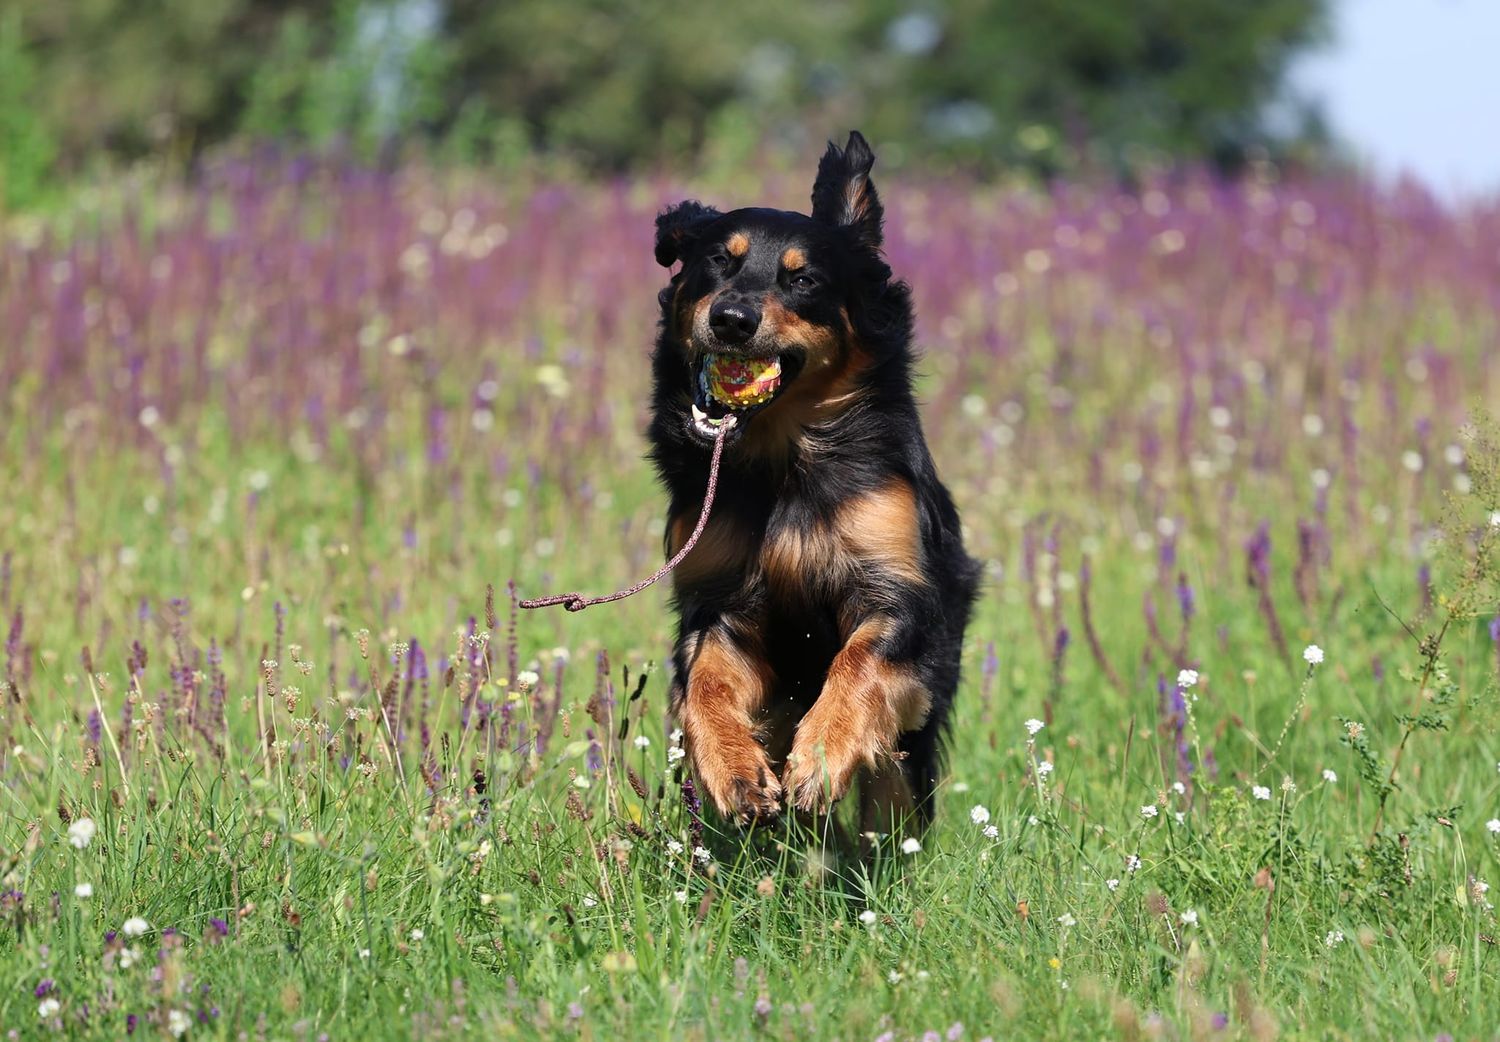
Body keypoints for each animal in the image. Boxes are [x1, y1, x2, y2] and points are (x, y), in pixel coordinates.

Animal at [647, 132, 979, 834]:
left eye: (803, 280)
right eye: (717, 261)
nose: (732, 318)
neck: (781, 459)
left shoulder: (898, 589)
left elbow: (860, 660)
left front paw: (822, 758)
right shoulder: (720, 601)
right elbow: (705, 680)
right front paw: (733, 770)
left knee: (896, 788)